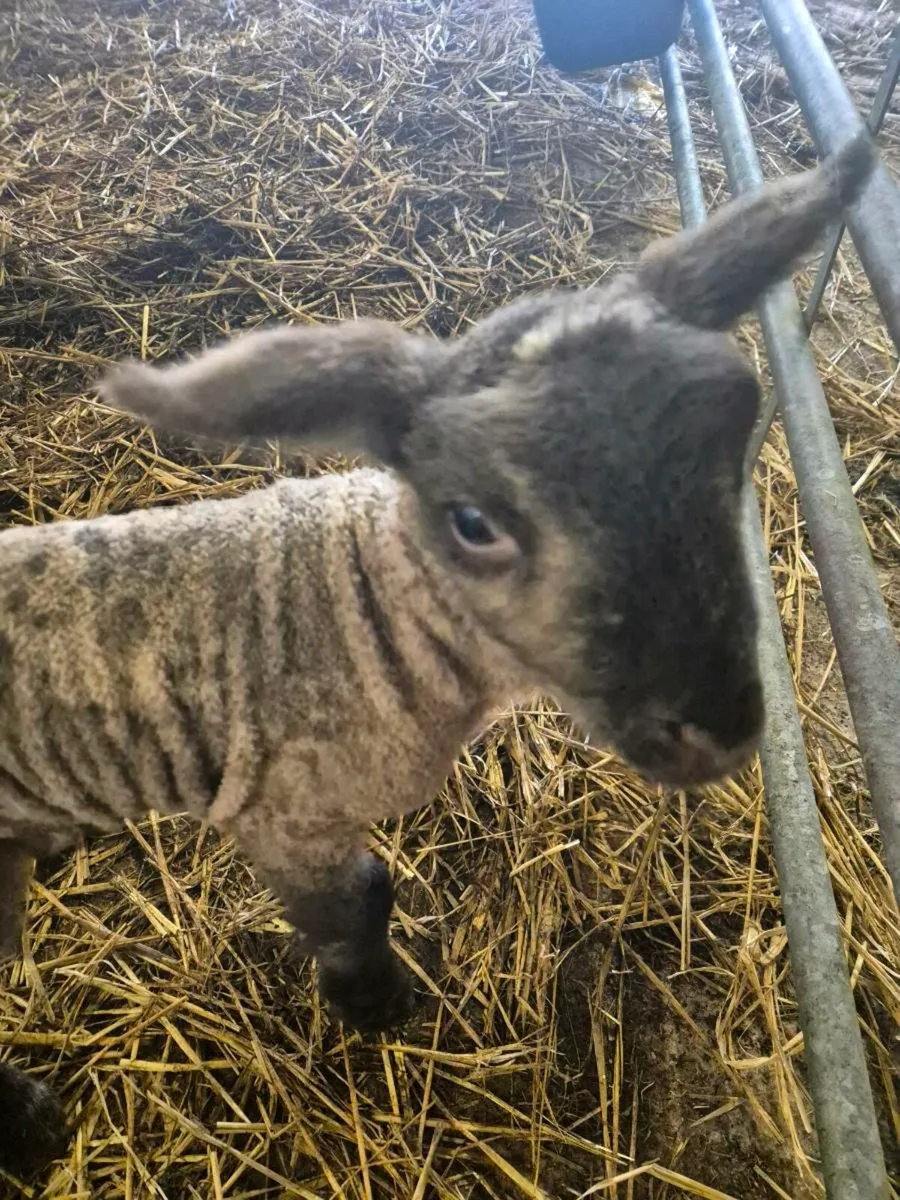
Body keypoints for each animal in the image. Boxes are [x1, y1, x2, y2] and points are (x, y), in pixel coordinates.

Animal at [0, 133, 876, 1179]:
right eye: (471, 522)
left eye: (738, 426)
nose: (722, 723)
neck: (364, 604)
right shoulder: (280, 810)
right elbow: (357, 901)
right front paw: (372, 1005)